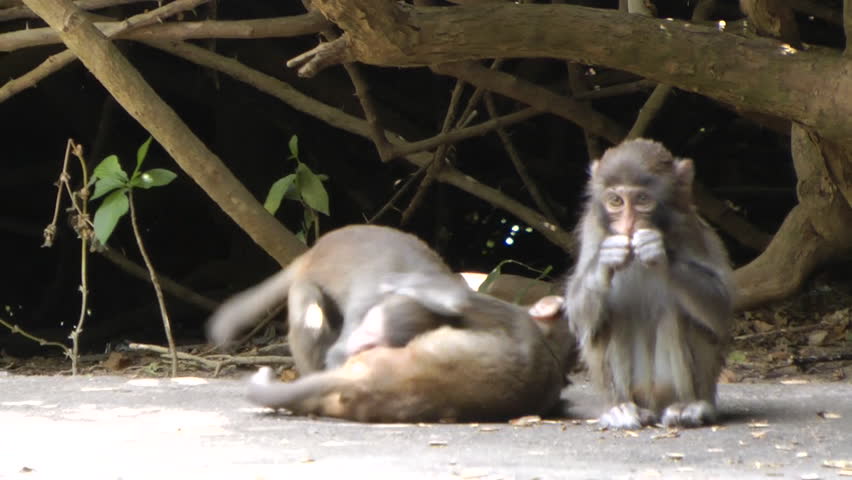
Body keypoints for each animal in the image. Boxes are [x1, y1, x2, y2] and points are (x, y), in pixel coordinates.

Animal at [207, 225, 463, 374]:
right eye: (372, 337)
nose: (362, 346)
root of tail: (314, 251)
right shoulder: (367, 300)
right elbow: (338, 353)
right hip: (305, 284)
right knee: (310, 321)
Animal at [564, 138, 735, 429]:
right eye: (616, 201)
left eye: (642, 200)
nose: (628, 226)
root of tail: (653, 404)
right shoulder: (592, 227)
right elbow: (578, 315)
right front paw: (606, 259)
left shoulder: (688, 226)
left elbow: (721, 310)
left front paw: (659, 252)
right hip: (635, 391)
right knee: (605, 318)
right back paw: (621, 409)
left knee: (686, 317)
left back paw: (692, 406)